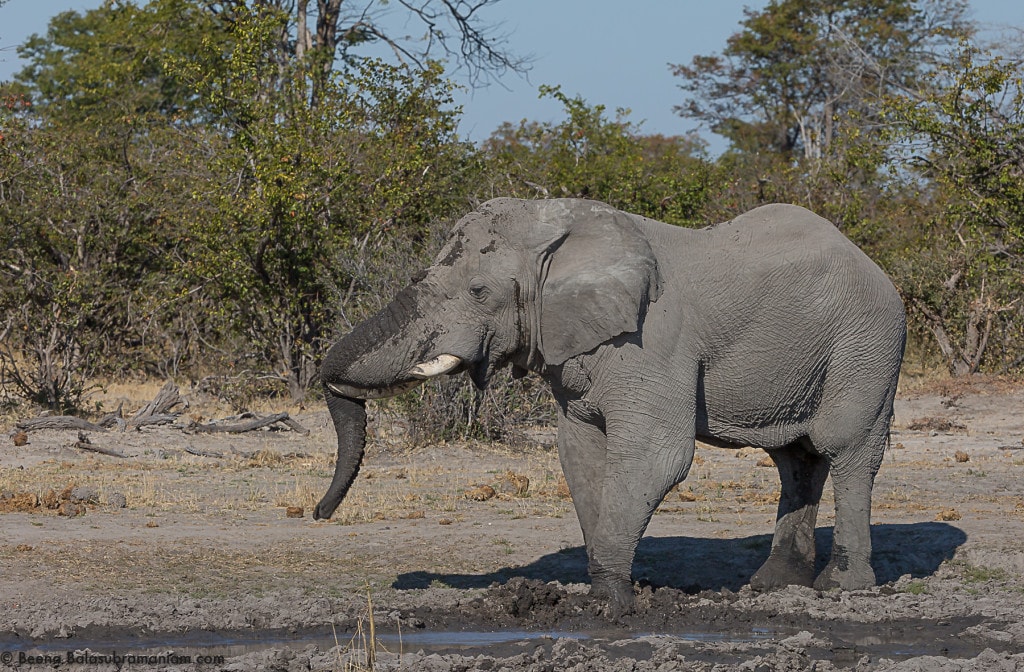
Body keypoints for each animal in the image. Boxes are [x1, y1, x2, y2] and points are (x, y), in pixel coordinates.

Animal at [311, 195, 905, 614]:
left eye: (479, 291)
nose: (320, 514)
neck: (560, 230)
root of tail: (876, 266)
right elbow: (580, 453)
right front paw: (604, 590)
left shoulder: (653, 341)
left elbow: (655, 456)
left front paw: (610, 604)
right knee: (795, 459)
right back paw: (772, 586)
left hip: (867, 344)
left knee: (846, 448)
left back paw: (841, 587)